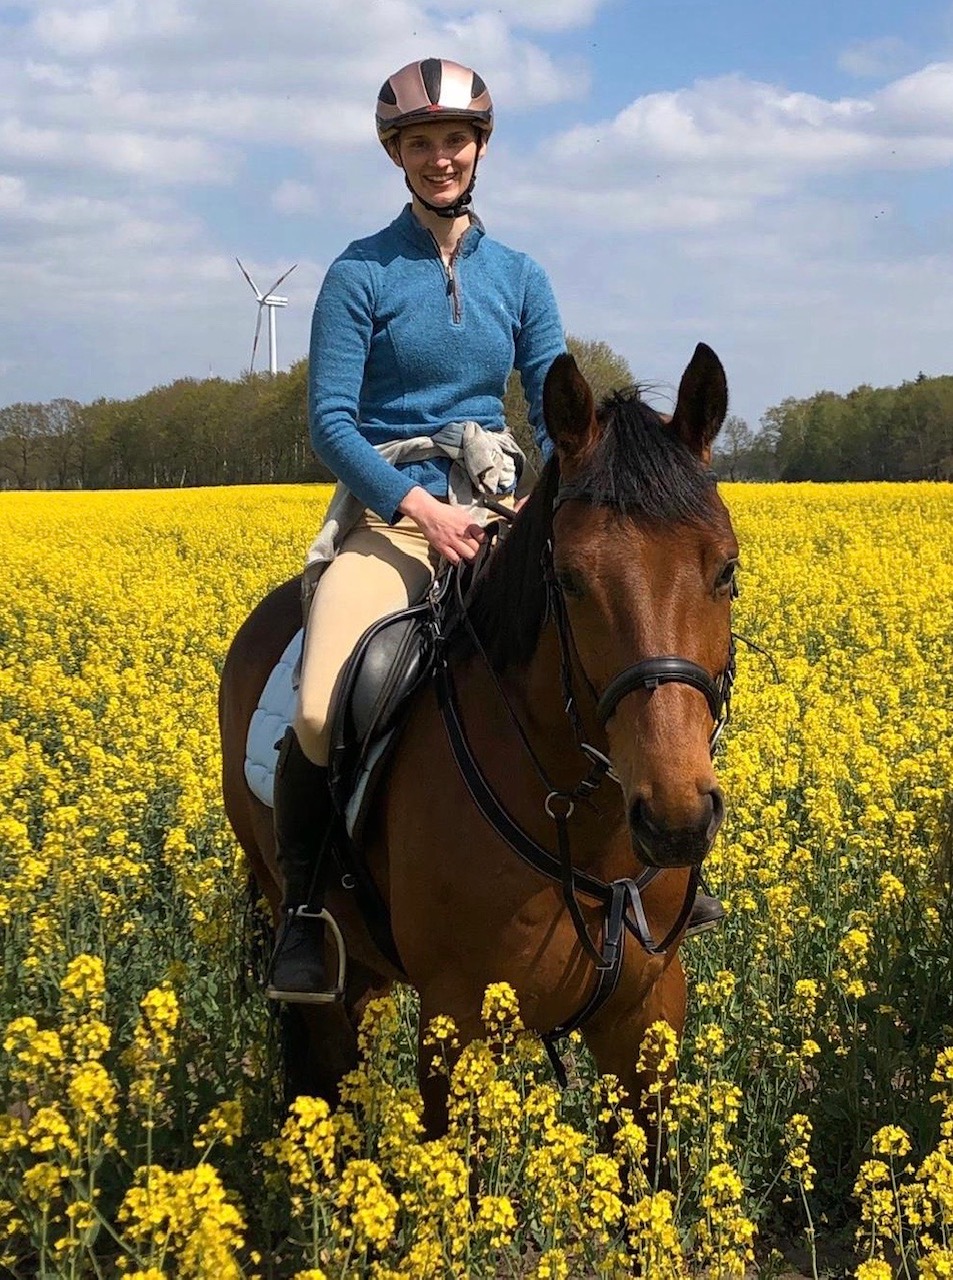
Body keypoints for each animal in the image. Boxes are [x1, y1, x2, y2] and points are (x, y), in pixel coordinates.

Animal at [218, 342, 738, 1135]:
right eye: (568, 579)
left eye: (727, 569)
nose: (674, 817)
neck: (582, 827)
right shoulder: (456, 1026)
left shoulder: (647, 1018)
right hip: (296, 918)